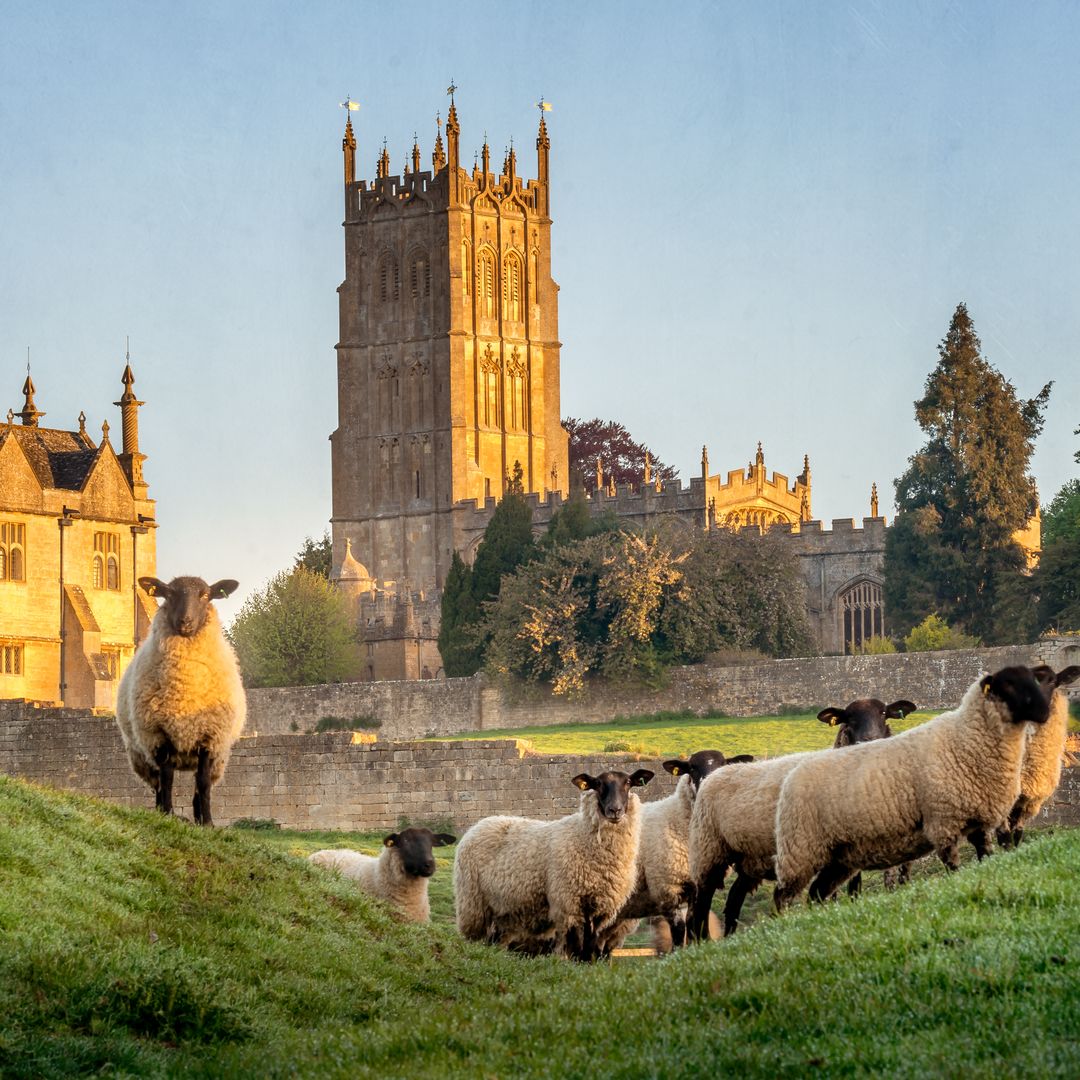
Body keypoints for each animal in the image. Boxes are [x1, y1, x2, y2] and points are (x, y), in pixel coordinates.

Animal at [115, 575, 245, 826]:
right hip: (141, 755)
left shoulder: (209, 738)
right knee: (157, 782)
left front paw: (208, 823)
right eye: (169, 593)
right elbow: (167, 780)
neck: (186, 685)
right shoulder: (159, 736)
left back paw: (198, 818)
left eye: (205, 595)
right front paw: (167, 814)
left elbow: (203, 783)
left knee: (198, 785)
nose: (186, 622)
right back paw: (161, 810)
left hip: (218, 759)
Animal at [453, 768, 654, 961]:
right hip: (474, 905)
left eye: (628, 782)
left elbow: (591, 945)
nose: (615, 810)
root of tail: (480, 824)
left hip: (505, 911)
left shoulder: (601, 908)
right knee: (477, 938)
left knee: (496, 939)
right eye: (597, 783)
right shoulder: (570, 903)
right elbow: (577, 944)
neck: (583, 836)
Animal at [687, 697, 915, 938]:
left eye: (884, 714)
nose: (869, 741)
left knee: (733, 899)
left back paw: (730, 935)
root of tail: (712, 776)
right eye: (848, 718)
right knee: (702, 904)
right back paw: (702, 940)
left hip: (749, 859)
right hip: (709, 851)